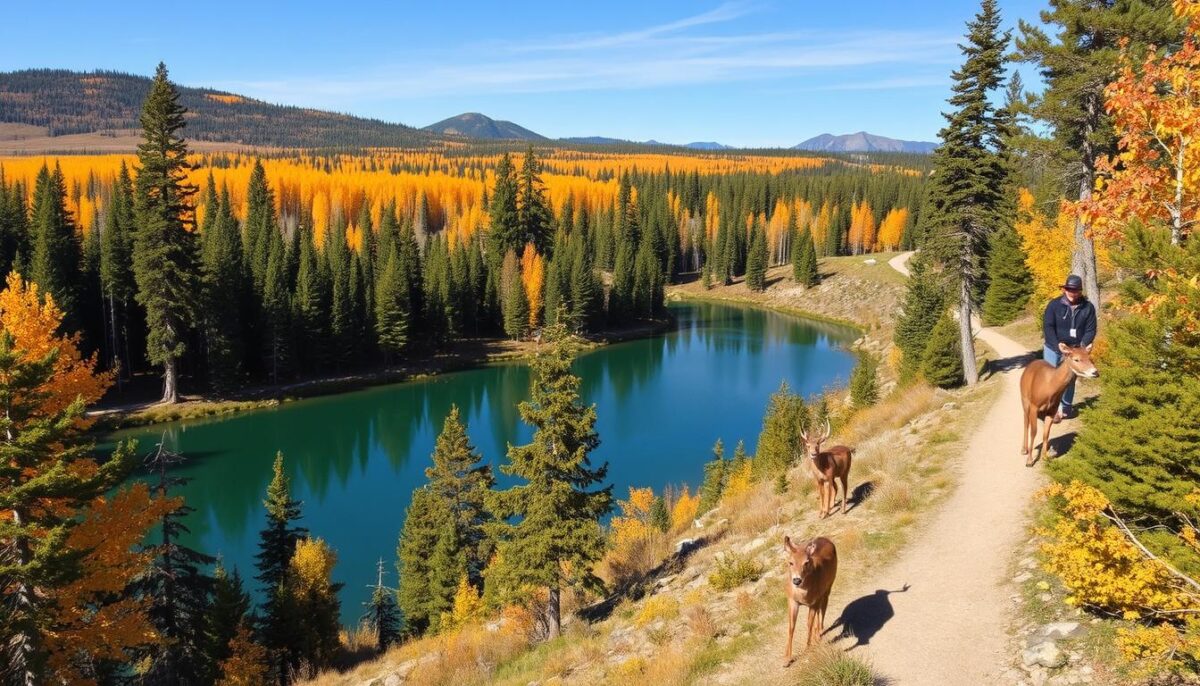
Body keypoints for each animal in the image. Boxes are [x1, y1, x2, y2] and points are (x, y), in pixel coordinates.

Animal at [782, 534, 840, 666]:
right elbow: (791, 627)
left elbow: (808, 623)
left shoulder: (813, 602)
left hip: (828, 586)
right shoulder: (792, 601)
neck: (802, 594)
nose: (797, 580)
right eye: (790, 562)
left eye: (806, 562)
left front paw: (808, 648)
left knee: (823, 609)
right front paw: (786, 659)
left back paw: (818, 634)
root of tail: (825, 539)